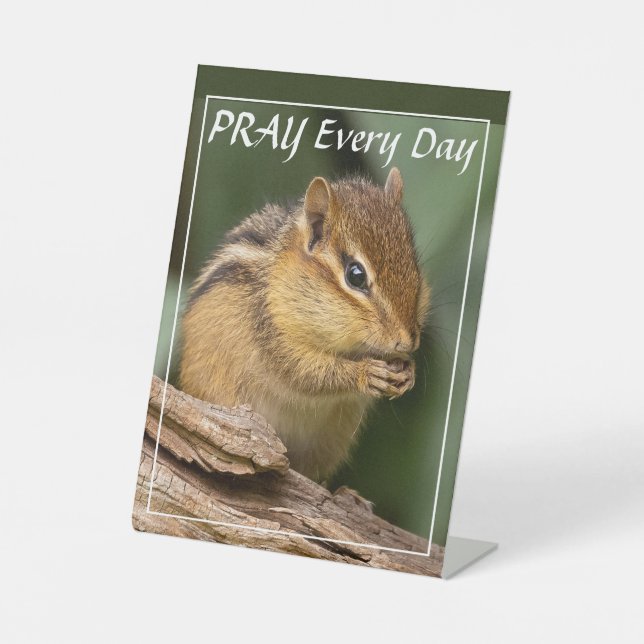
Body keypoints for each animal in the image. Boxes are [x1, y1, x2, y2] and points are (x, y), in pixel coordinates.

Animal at [179, 167, 430, 482]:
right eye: (356, 275)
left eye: (415, 268)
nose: (407, 341)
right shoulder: (270, 331)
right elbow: (303, 372)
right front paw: (364, 373)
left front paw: (408, 372)